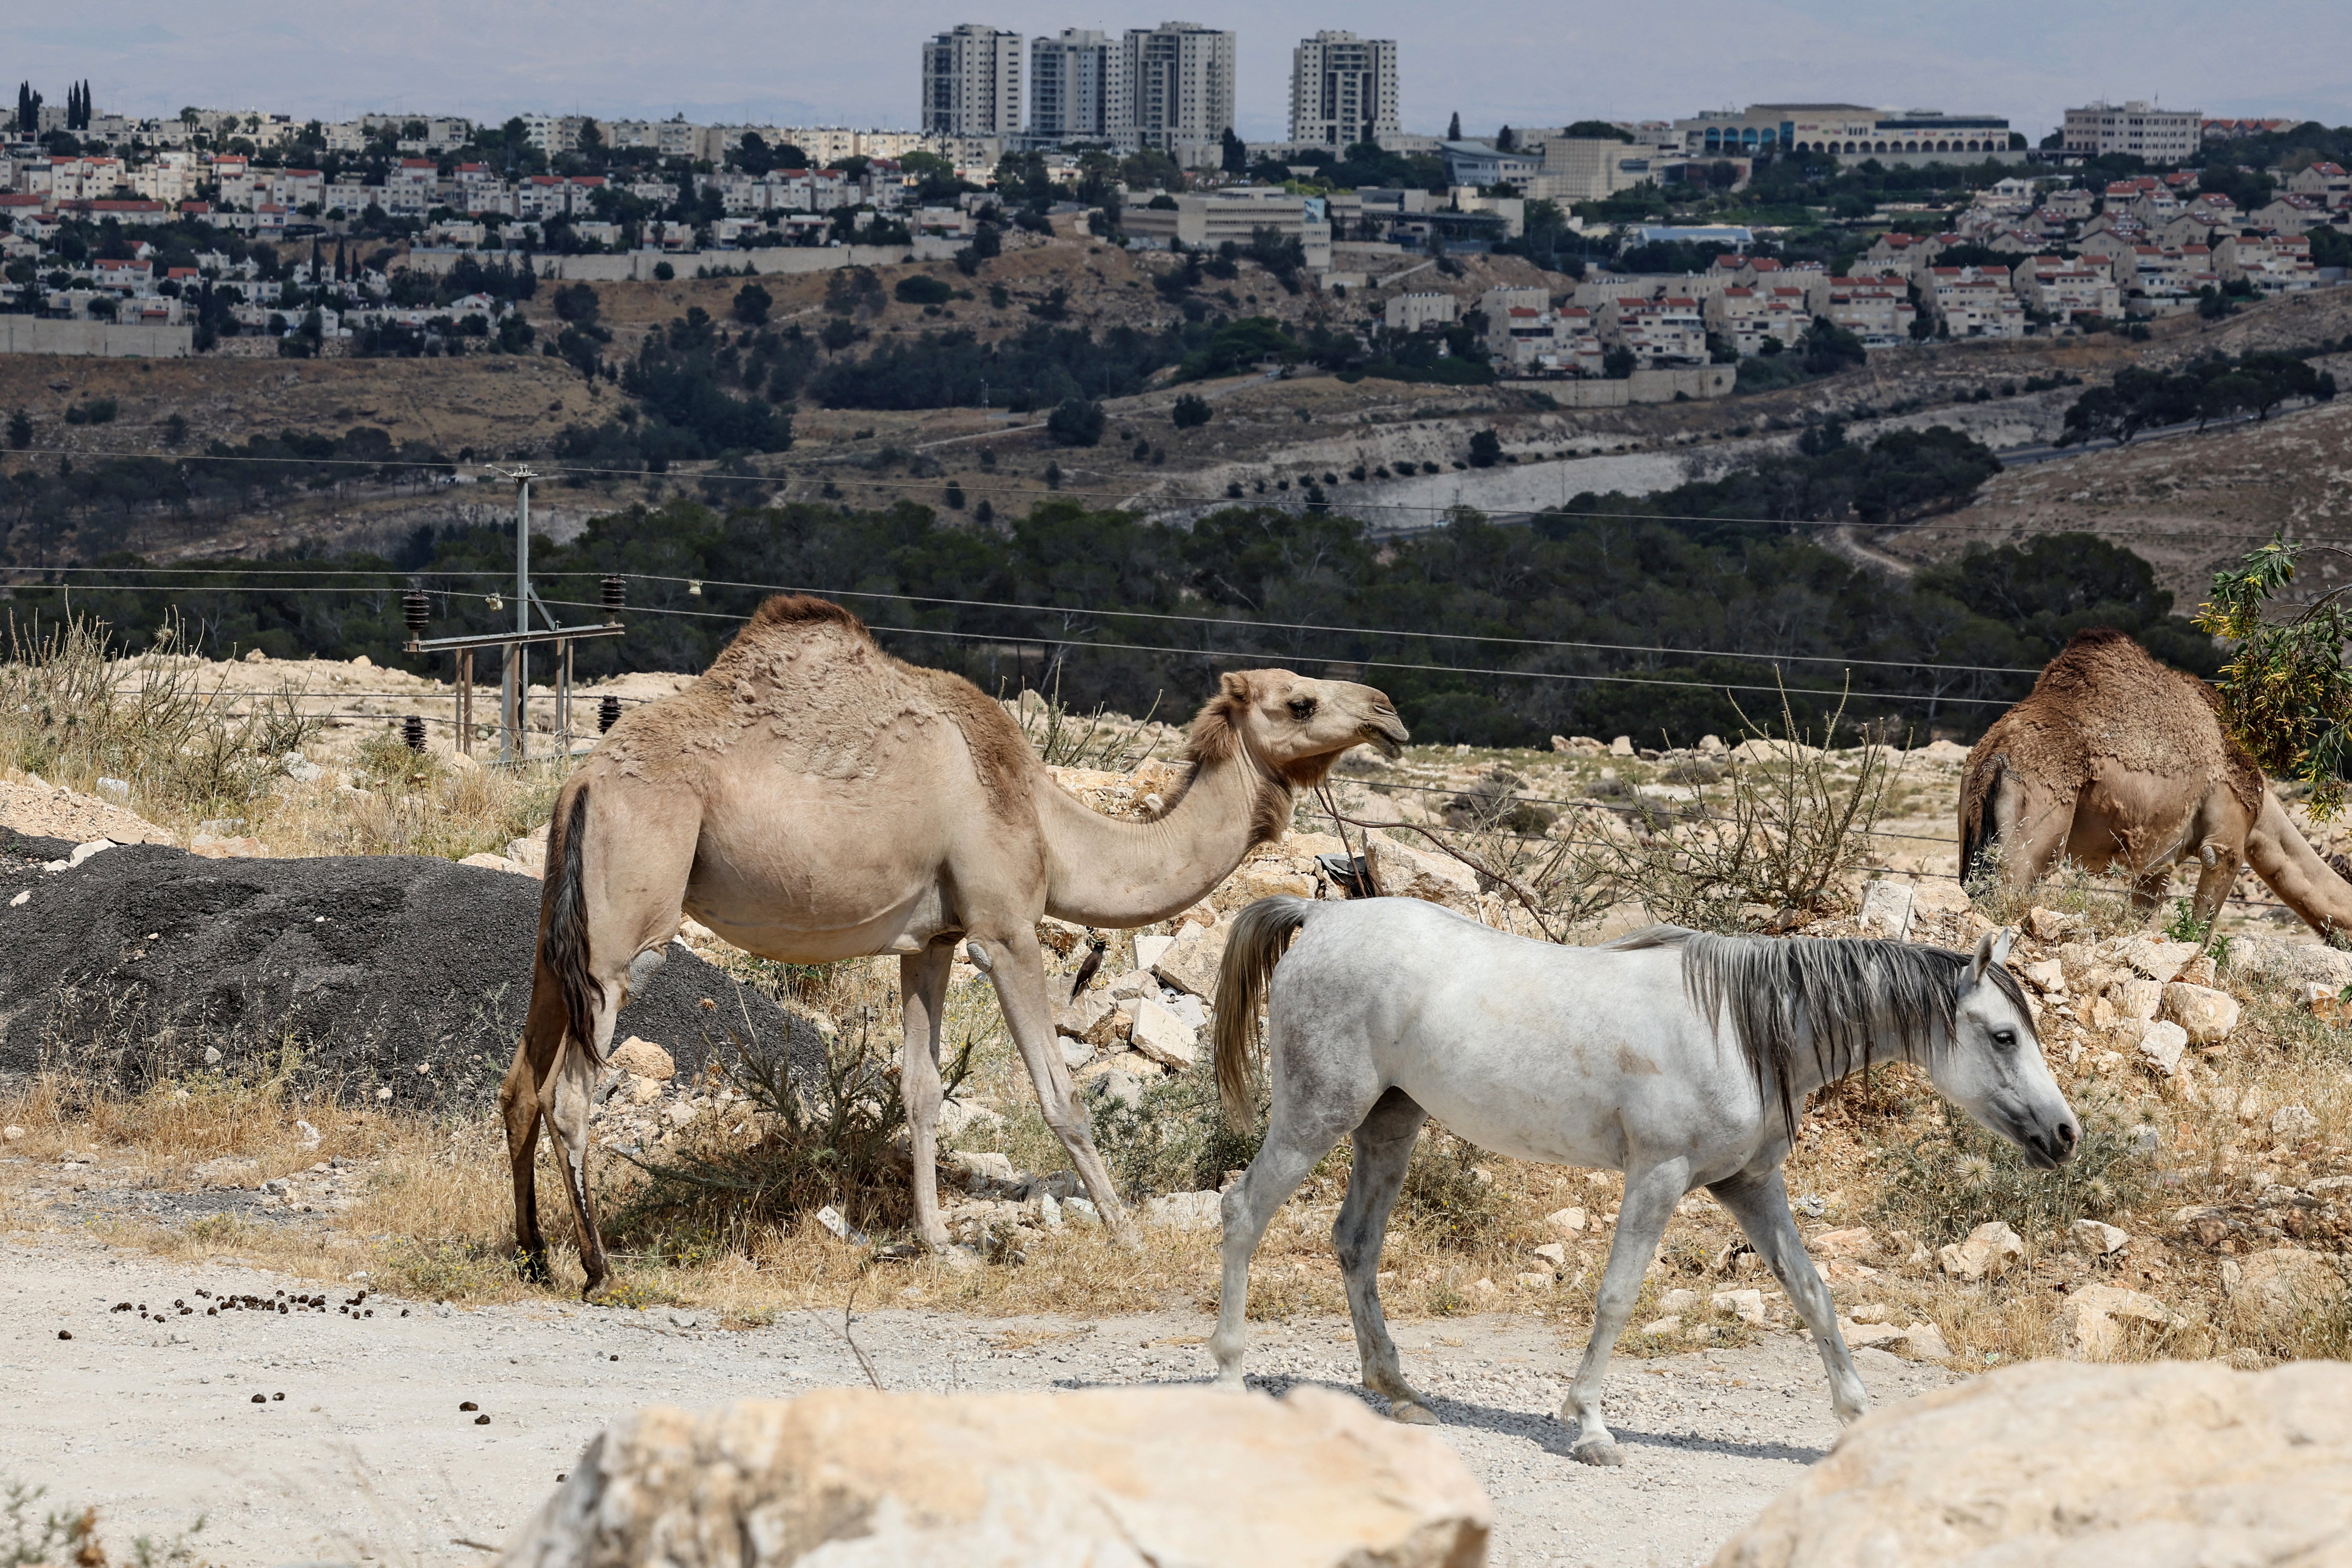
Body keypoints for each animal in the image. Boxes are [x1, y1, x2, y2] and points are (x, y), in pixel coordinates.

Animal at [499, 594, 1409, 1296]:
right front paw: (1124, 1232)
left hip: (562, 927)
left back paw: (535, 1254)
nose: (1387, 711)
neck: (1046, 819)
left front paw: (937, 1239)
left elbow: (922, 1089)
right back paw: (599, 1267)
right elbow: (1060, 1096)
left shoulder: (929, 939)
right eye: (1299, 702)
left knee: (518, 1086)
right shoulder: (1001, 928)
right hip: (630, 923)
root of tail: (581, 781)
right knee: (569, 1093)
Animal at [1206, 895, 2077, 1466]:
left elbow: (1813, 1292)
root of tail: (1320, 917)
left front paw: (1857, 1417)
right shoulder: (1657, 1176)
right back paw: (1229, 1373)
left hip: (1390, 1123)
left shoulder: (1750, 1186)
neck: (1740, 1029)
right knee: (1243, 1211)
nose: (2065, 1134)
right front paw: (1590, 1426)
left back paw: (1398, 1390)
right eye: (2004, 1035)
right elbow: (1618, 1294)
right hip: (1317, 1115)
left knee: (1355, 1241)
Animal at [1960, 626, 2352, 937]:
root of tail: (1995, 758)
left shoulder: (2156, 862)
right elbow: (2201, 933)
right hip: (2034, 834)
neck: (2262, 811)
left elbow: (2146, 921)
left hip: (1972, 825)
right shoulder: (2226, 843)